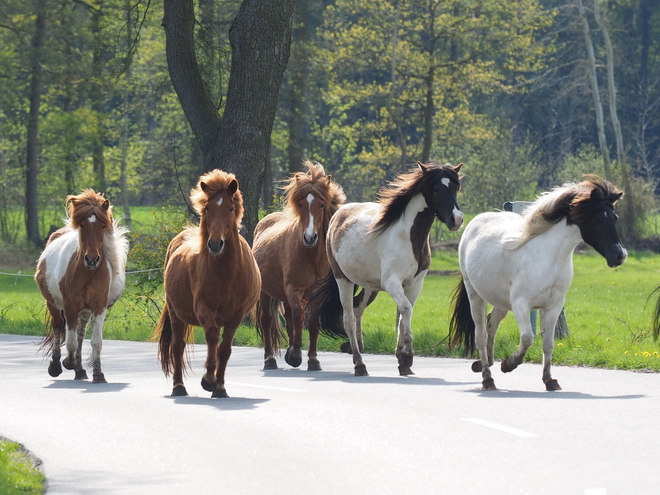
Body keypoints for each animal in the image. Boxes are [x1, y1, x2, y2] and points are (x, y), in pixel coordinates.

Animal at [34, 190, 129, 384]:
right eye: (82, 225)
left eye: (102, 226)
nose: (92, 259)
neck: (88, 273)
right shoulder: (70, 306)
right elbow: (70, 341)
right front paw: (67, 362)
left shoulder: (99, 307)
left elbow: (95, 341)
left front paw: (98, 374)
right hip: (53, 304)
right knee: (58, 327)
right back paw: (57, 366)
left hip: (84, 312)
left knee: (80, 334)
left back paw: (80, 370)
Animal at [153, 170, 260, 400]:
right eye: (208, 207)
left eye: (230, 208)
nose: (215, 244)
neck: (227, 272)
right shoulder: (204, 309)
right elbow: (211, 337)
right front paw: (209, 380)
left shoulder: (237, 315)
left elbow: (225, 348)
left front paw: (220, 388)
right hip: (176, 313)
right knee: (178, 347)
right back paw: (178, 387)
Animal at [251, 161, 346, 370]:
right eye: (301, 204)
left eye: (321, 205)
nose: (310, 238)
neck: (310, 256)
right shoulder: (293, 290)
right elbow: (298, 317)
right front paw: (294, 355)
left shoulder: (317, 294)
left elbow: (311, 323)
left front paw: (313, 359)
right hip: (265, 293)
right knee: (267, 321)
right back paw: (270, 359)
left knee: (287, 319)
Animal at [310, 163, 462, 376]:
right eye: (436, 189)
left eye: (455, 187)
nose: (456, 219)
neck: (408, 238)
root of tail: (338, 215)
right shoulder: (392, 282)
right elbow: (405, 309)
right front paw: (407, 356)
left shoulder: (415, 284)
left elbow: (404, 314)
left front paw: (402, 360)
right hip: (343, 280)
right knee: (349, 318)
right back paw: (359, 364)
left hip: (369, 286)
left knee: (358, 310)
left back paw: (357, 349)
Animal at [448, 177, 628, 392]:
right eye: (598, 219)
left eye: (615, 218)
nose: (620, 256)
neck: (550, 257)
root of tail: (474, 223)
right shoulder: (521, 305)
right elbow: (528, 338)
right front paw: (508, 364)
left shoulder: (553, 307)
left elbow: (548, 344)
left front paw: (550, 380)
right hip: (475, 294)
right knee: (481, 335)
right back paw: (487, 378)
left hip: (501, 301)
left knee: (492, 324)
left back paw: (485, 364)